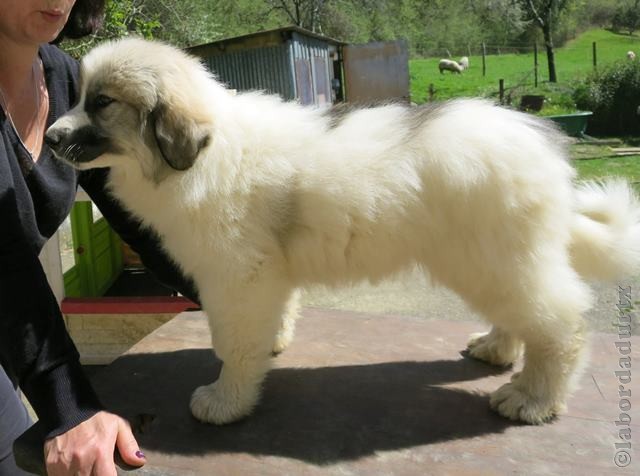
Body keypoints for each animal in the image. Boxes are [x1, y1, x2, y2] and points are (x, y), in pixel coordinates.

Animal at [46, 39, 640, 426]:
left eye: (102, 103)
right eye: (78, 96)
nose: (50, 136)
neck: (204, 152)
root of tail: (543, 146)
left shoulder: (236, 277)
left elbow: (232, 342)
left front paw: (227, 400)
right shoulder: (264, 275)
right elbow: (270, 317)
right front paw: (275, 344)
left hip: (495, 257)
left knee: (560, 323)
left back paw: (533, 399)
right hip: (495, 258)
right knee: (526, 314)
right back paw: (497, 347)